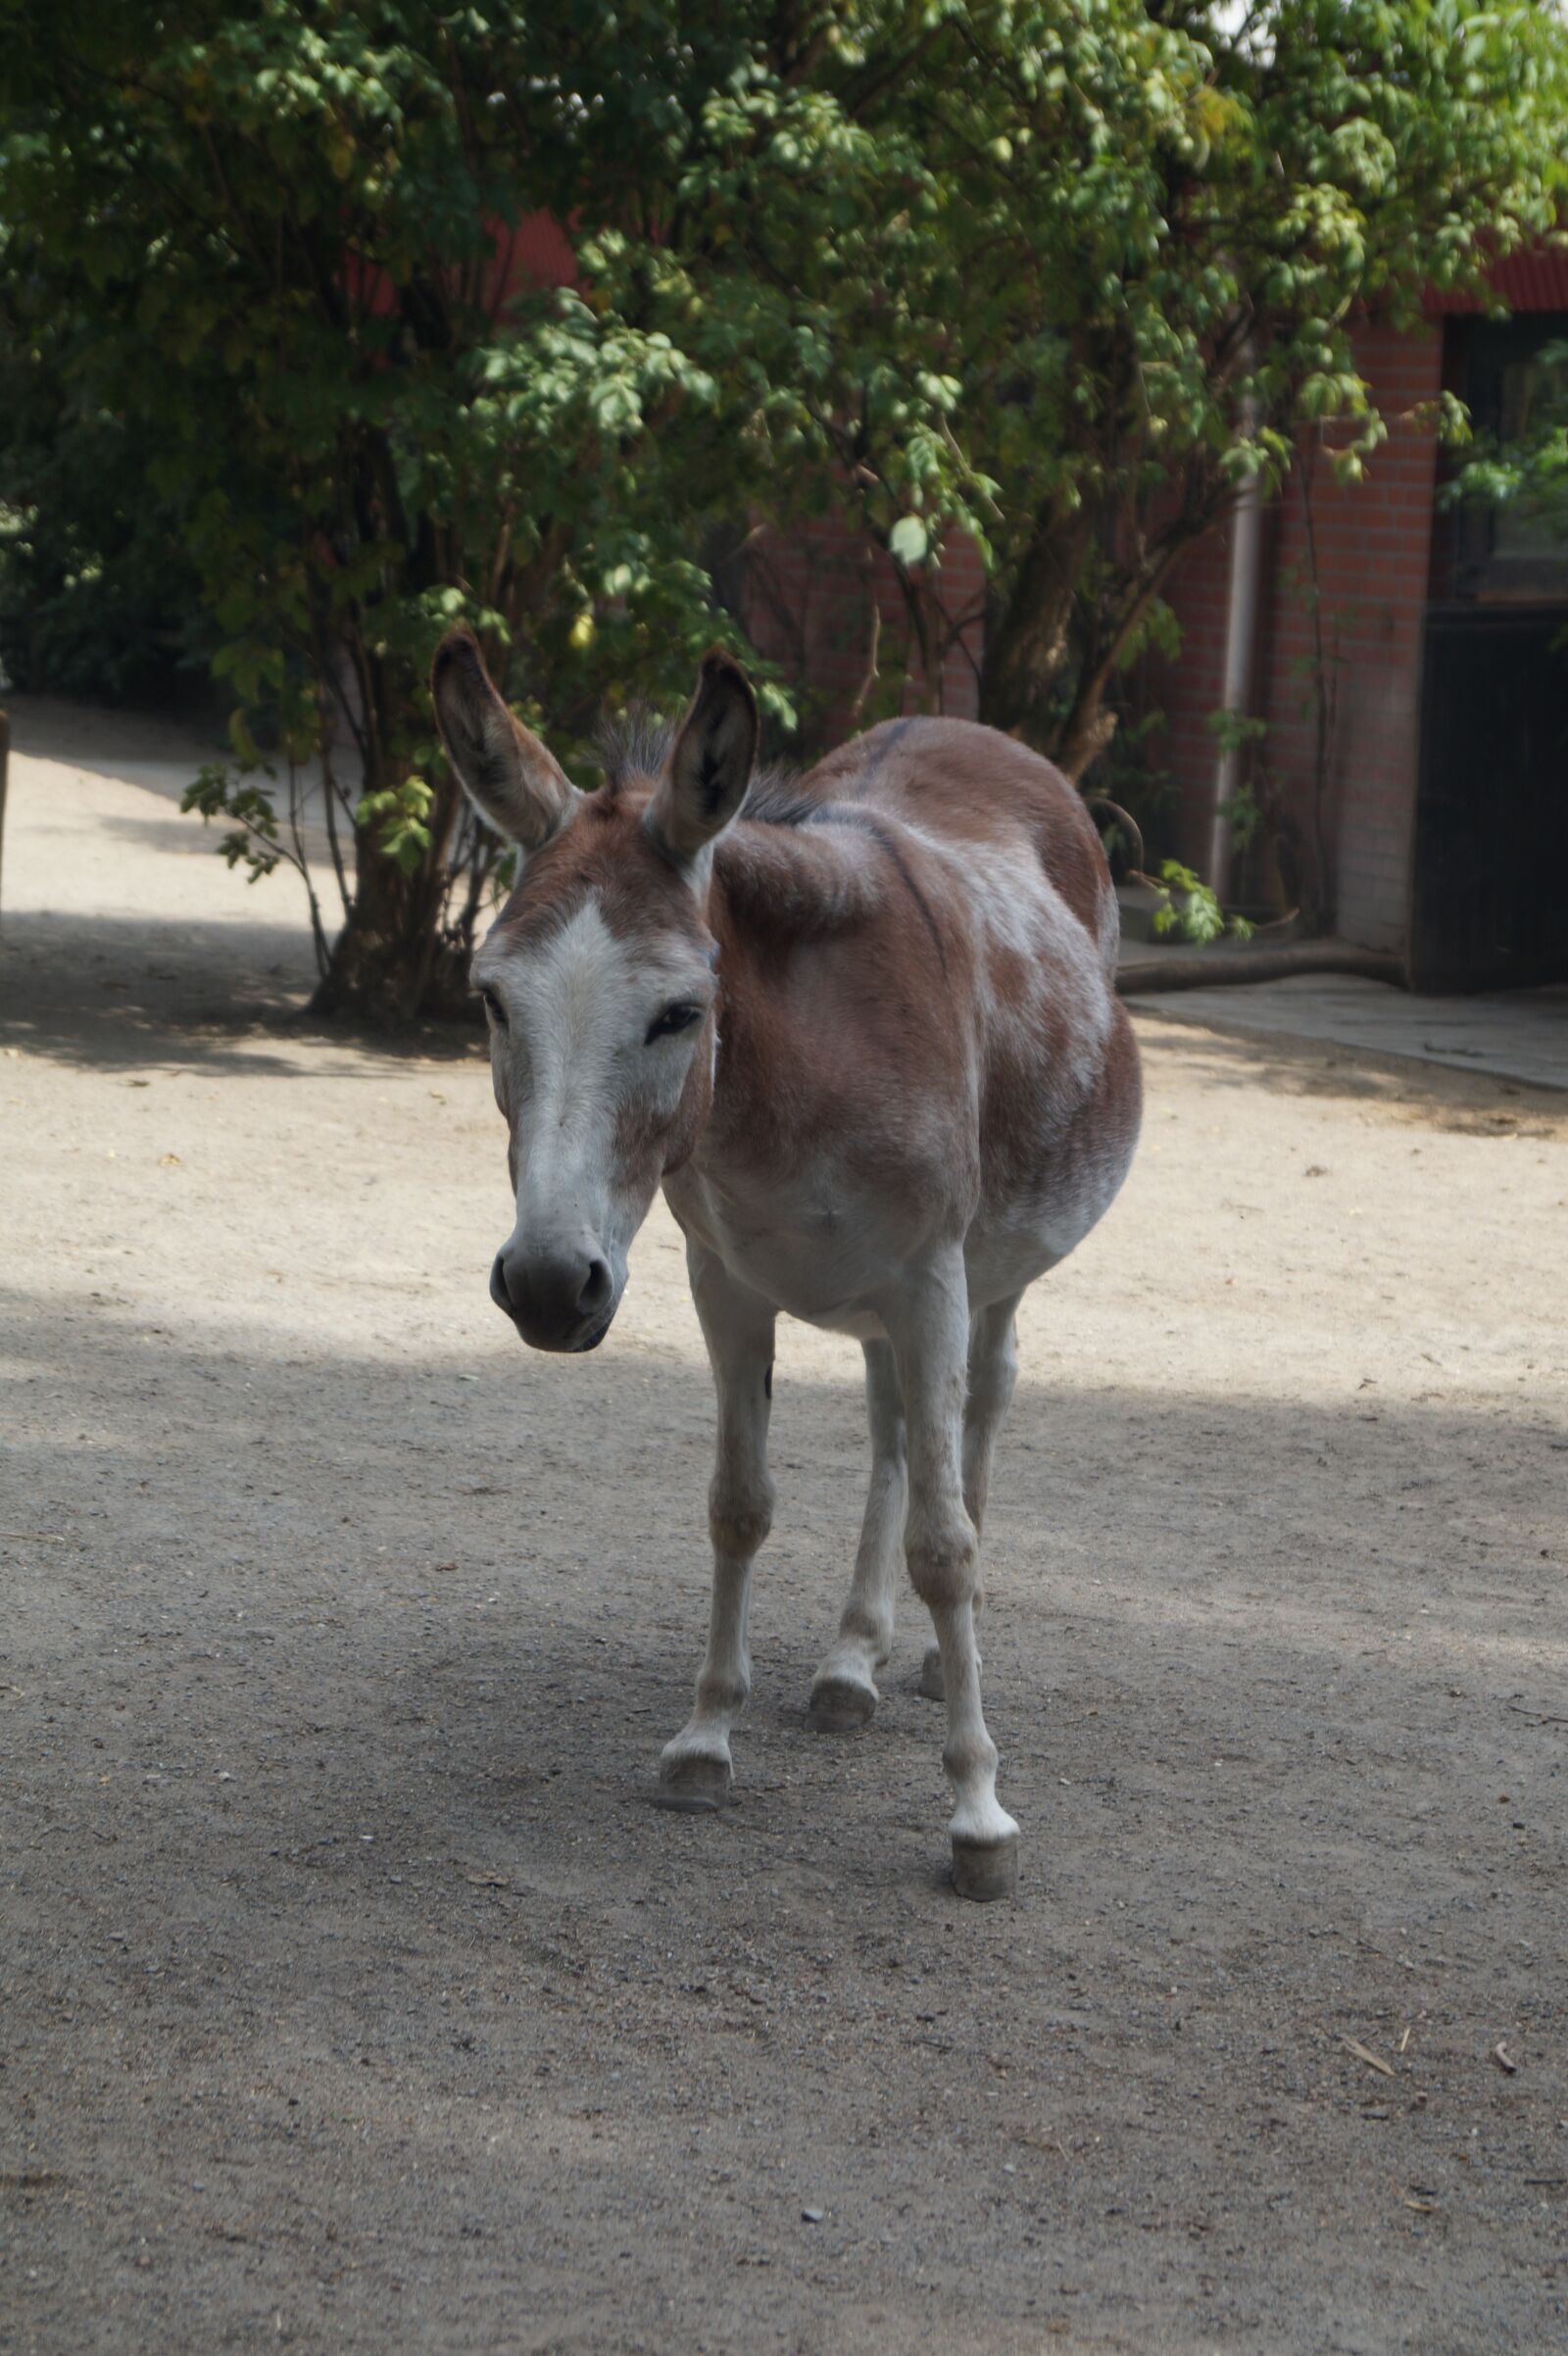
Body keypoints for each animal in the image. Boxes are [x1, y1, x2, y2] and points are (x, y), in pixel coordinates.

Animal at [431, 631, 1141, 1899]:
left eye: (679, 1011)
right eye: (492, 998)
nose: (551, 1287)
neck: (788, 1071)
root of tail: (967, 729)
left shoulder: (931, 1282)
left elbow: (945, 1549)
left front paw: (976, 1811)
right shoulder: (724, 1281)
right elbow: (738, 1506)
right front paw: (706, 1736)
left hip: (984, 1279)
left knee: (977, 1413)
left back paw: (919, 1667)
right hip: (872, 1305)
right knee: (890, 1434)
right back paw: (851, 1660)